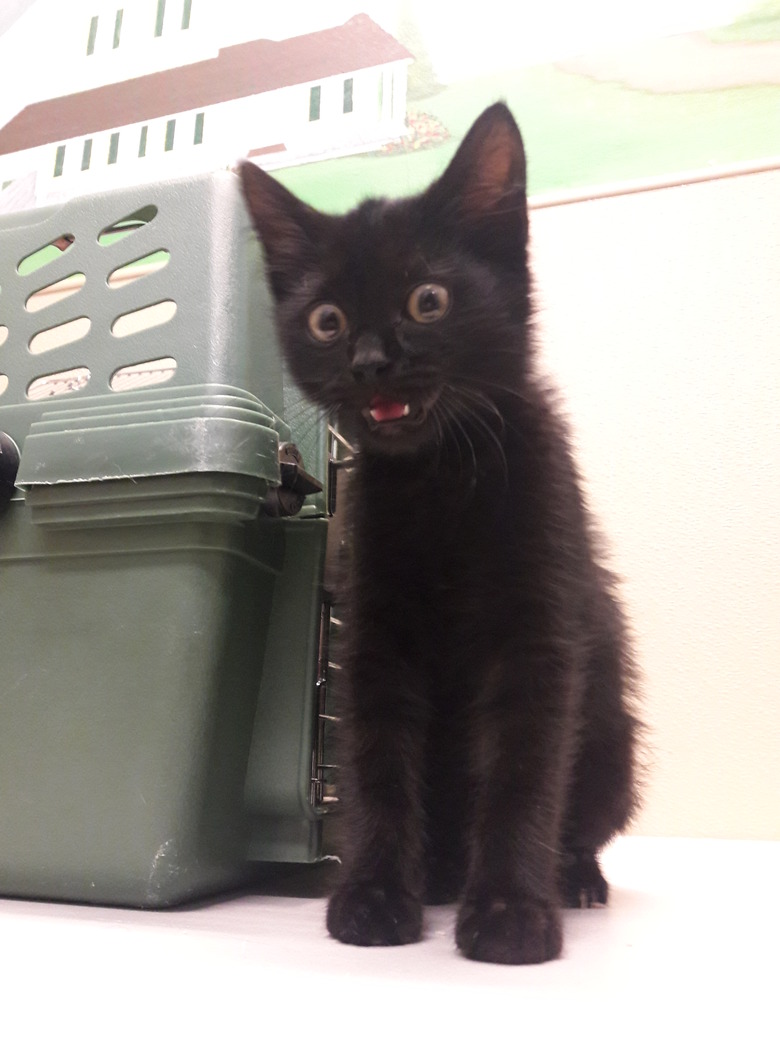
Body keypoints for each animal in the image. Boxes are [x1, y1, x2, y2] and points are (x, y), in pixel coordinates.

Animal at [243, 101, 640, 960]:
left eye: (428, 301)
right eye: (327, 320)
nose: (370, 360)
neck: (440, 479)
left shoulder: (539, 629)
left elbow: (524, 765)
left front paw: (511, 910)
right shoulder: (376, 632)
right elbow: (378, 761)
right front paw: (375, 895)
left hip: (614, 749)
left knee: (585, 816)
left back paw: (571, 876)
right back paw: (441, 873)